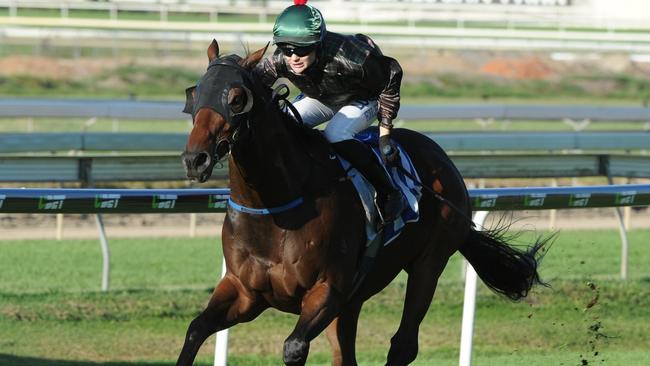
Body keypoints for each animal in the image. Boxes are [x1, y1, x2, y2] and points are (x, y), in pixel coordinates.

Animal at [176, 38, 540, 364]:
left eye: (237, 98)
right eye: (193, 93)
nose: (195, 159)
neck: (274, 207)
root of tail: (444, 161)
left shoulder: (327, 291)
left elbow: (293, 347)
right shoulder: (245, 292)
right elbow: (195, 330)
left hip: (428, 264)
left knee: (403, 345)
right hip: (354, 299)